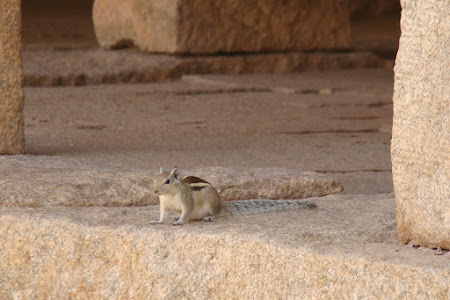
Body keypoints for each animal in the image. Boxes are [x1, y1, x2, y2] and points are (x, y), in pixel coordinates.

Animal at [151, 166, 316, 225]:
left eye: (167, 181)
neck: (169, 195)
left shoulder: (187, 202)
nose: (155, 191)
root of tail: (222, 204)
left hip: (211, 204)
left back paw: (209, 217)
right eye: (154, 179)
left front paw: (180, 221)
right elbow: (162, 214)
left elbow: (186, 212)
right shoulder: (163, 205)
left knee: (215, 213)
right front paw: (158, 221)